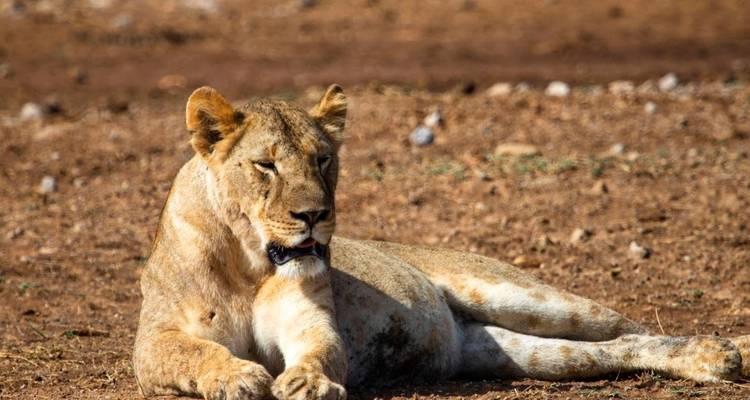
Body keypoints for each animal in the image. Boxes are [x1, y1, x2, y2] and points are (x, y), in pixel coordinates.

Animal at [133, 84, 750, 400]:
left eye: (323, 159)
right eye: (265, 165)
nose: (315, 215)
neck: (249, 261)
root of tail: (458, 332)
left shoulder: (312, 320)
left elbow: (322, 349)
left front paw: (307, 381)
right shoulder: (153, 341)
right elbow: (195, 350)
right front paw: (235, 375)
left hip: (520, 294)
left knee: (631, 327)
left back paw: (724, 350)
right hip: (516, 352)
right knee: (613, 349)